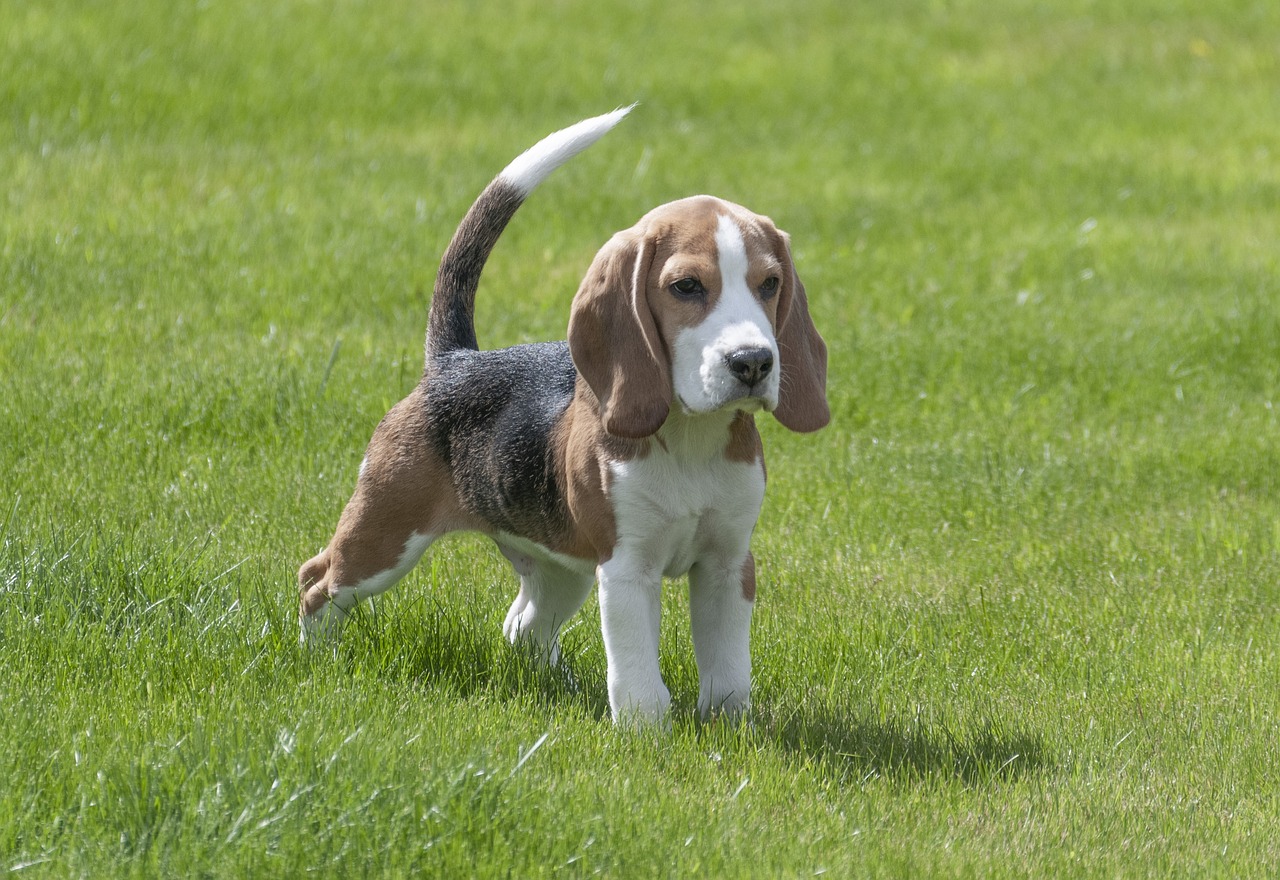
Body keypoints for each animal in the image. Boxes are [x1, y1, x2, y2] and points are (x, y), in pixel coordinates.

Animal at [294, 106, 824, 726]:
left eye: (770, 284)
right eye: (687, 286)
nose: (753, 362)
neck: (691, 438)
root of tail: (455, 361)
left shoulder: (728, 564)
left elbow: (728, 669)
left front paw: (729, 725)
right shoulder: (626, 568)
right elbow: (637, 672)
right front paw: (645, 733)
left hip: (560, 569)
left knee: (522, 626)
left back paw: (561, 687)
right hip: (384, 533)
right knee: (318, 580)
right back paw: (316, 656)